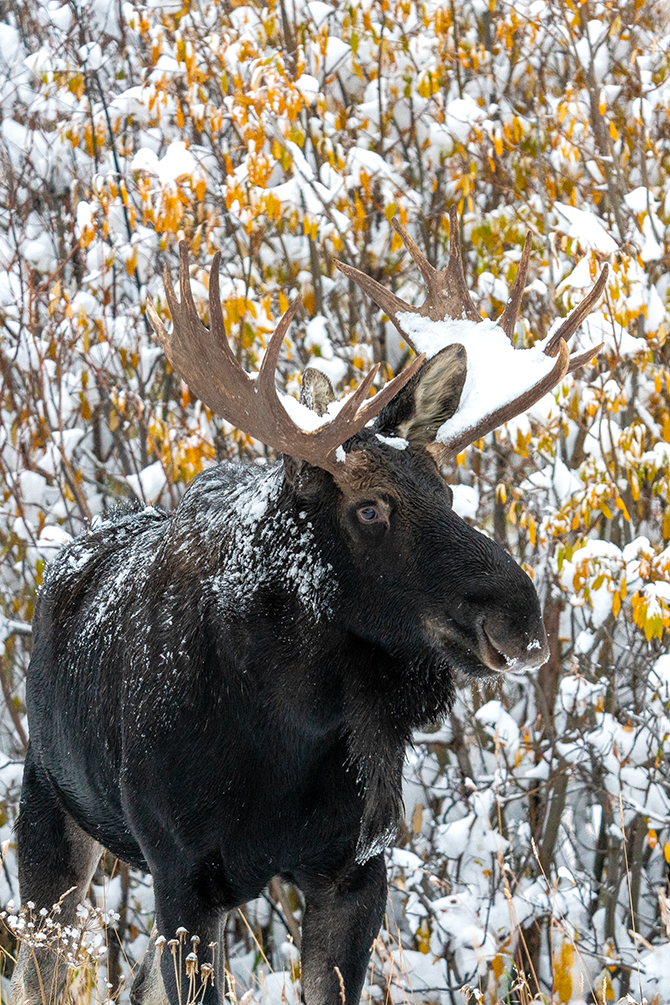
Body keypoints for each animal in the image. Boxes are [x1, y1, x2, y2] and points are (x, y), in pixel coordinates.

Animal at [10, 208, 606, 1005]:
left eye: (447, 490)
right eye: (369, 509)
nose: (520, 618)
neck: (286, 727)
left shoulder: (354, 868)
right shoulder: (182, 872)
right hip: (50, 810)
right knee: (36, 970)